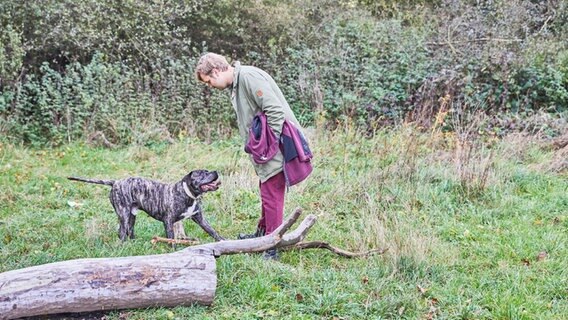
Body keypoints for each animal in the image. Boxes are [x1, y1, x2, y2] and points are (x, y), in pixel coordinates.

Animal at [69, 170, 224, 240]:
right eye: (203, 173)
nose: (215, 172)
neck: (189, 195)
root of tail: (116, 182)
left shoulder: (200, 219)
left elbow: (213, 231)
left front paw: (222, 242)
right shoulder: (168, 221)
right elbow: (171, 238)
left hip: (132, 215)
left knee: (129, 230)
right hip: (123, 213)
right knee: (121, 232)